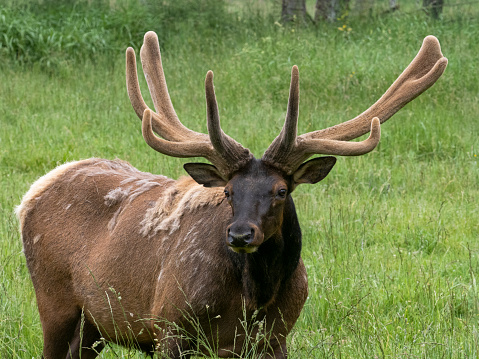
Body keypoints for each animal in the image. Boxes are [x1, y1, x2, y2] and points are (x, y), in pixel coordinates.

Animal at [16, 32, 448, 358]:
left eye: (280, 190)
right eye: (227, 191)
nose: (240, 234)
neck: (252, 300)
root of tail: (33, 192)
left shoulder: (275, 338)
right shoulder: (169, 325)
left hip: (94, 324)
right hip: (53, 300)